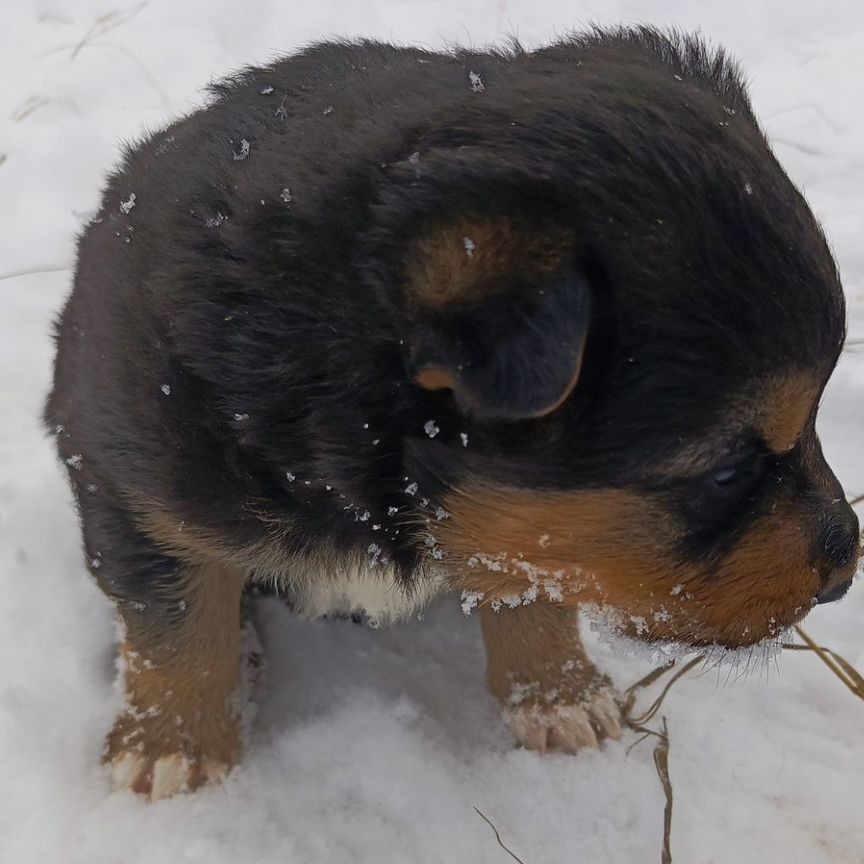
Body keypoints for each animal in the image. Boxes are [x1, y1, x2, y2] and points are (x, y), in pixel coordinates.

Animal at [45, 28, 856, 804]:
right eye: (726, 471)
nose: (848, 562)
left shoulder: (522, 512)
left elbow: (531, 569)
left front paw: (558, 696)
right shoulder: (138, 494)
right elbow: (176, 626)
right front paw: (169, 749)